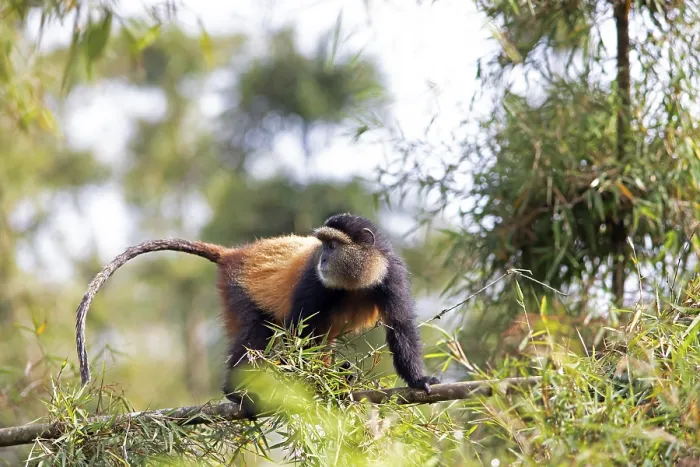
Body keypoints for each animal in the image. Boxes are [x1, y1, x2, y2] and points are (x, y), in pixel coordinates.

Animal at [75, 213, 440, 417]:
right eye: (323, 246)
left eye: (332, 246)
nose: (323, 258)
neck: (355, 279)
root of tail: (234, 254)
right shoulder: (313, 282)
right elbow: (298, 334)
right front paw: (315, 385)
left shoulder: (391, 275)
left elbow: (400, 326)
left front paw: (418, 380)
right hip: (238, 292)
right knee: (256, 331)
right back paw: (237, 391)